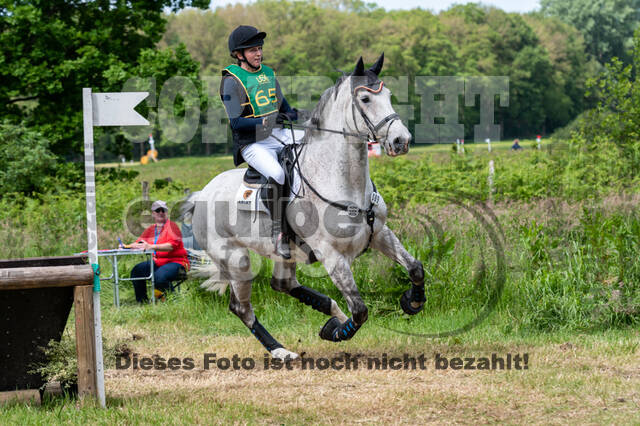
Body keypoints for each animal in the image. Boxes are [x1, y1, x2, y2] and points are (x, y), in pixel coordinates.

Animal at [184, 54, 426, 360]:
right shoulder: (331, 255)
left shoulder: (380, 233)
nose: (400, 141)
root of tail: (200, 195)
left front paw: (412, 302)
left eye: (389, 95)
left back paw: (332, 311)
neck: (343, 182)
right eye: (365, 99)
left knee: (283, 284)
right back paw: (282, 350)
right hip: (235, 259)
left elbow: (415, 268)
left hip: (282, 255)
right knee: (242, 308)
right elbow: (360, 311)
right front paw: (336, 332)